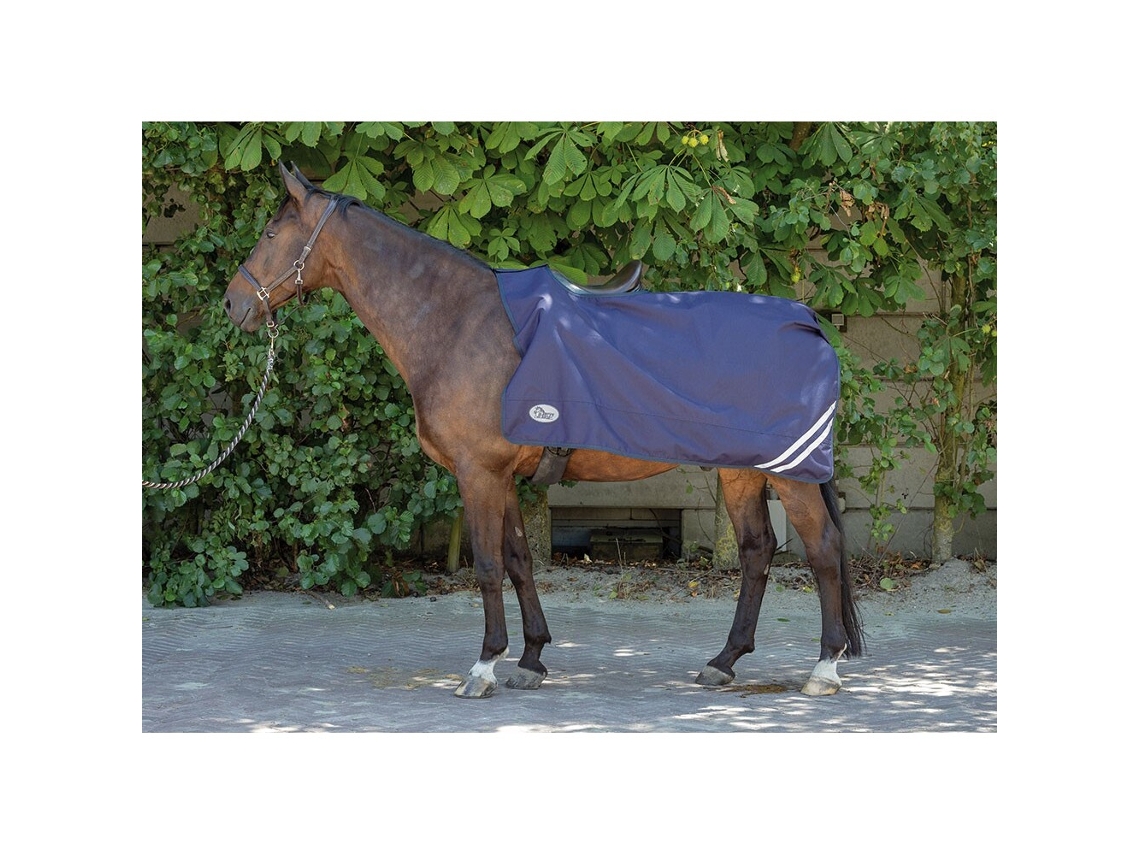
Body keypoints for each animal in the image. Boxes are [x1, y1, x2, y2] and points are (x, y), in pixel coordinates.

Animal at [224, 162, 864, 699]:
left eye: (272, 234)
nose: (233, 305)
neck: (458, 323)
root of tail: (810, 324)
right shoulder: (501, 475)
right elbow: (518, 560)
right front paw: (531, 658)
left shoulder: (478, 473)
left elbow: (486, 565)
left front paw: (485, 666)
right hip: (742, 472)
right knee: (757, 552)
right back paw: (724, 661)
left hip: (791, 476)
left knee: (823, 549)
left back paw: (825, 667)